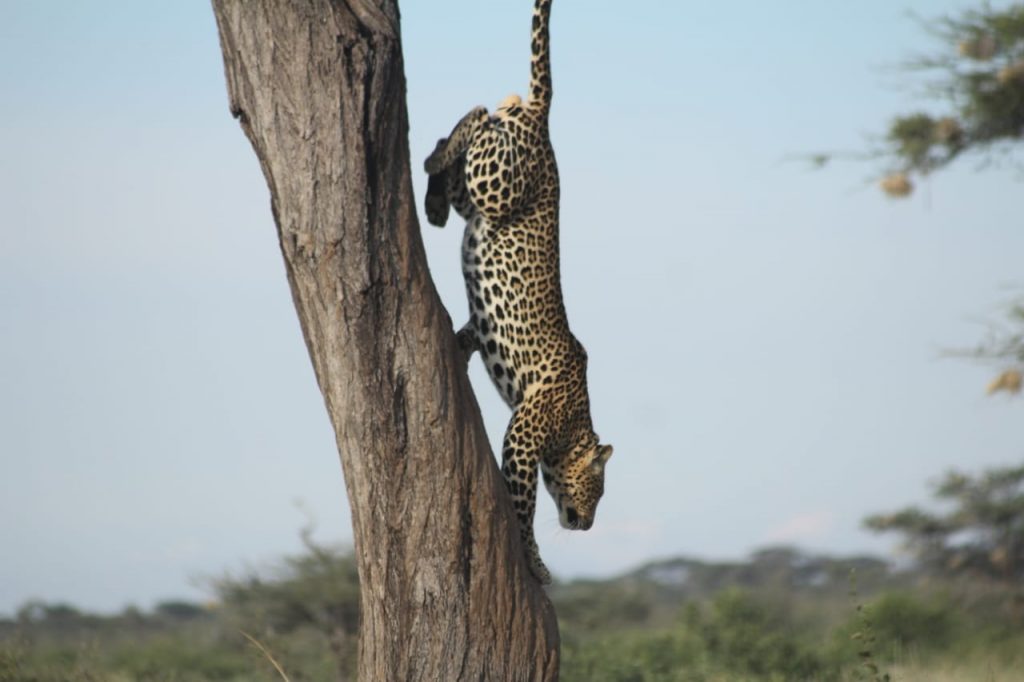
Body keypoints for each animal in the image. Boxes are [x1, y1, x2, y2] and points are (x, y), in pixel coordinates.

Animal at [421, 0, 610, 585]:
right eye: (598, 490)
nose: (588, 525)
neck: (575, 423)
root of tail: (544, 122)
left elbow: (469, 333)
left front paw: (459, 348)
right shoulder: (523, 438)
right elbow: (522, 507)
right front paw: (536, 563)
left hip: (482, 200)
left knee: (469, 149)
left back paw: (434, 199)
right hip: (498, 183)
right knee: (478, 114)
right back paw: (445, 154)